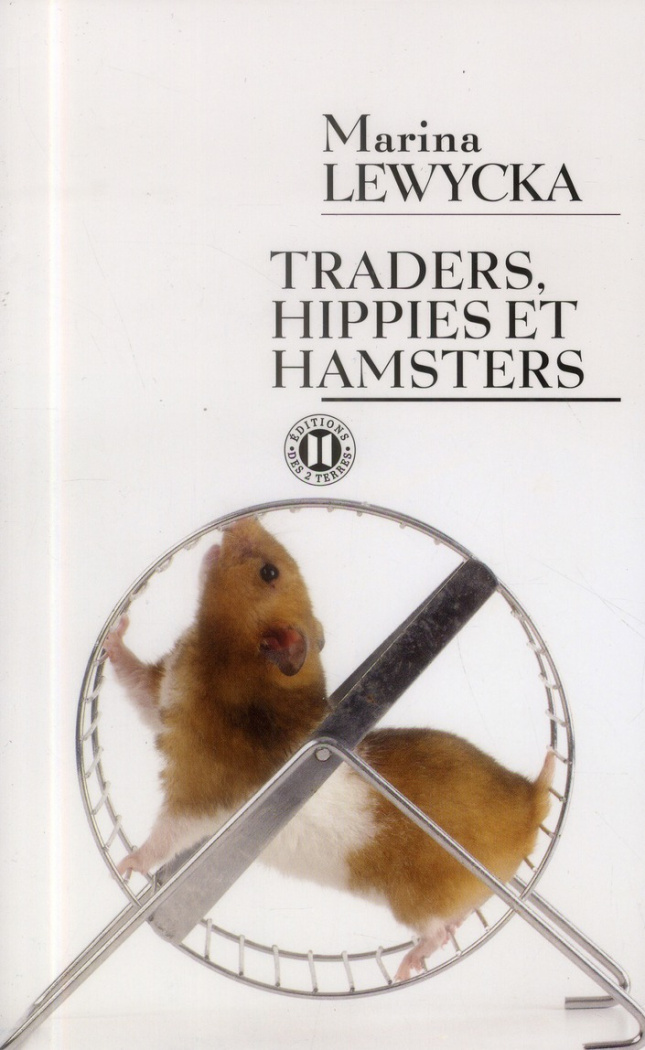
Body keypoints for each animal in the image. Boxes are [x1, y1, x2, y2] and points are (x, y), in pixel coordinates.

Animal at [104, 517, 554, 981]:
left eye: (269, 572)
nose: (243, 520)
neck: (232, 663)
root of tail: (531, 808)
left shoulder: (203, 791)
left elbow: (167, 834)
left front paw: (127, 865)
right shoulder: (163, 702)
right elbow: (136, 682)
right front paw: (115, 633)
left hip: (416, 898)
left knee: (438, 931)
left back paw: (405, 967)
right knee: (459, 920)